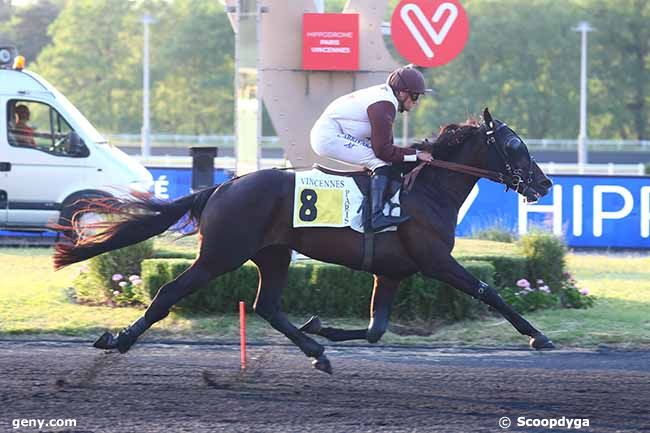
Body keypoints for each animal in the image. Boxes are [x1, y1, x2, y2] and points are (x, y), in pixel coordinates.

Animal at [54, 107, 552, 372]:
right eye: (514, 145)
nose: (544, 184)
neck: (427, 191)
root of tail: (222, 187)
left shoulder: (392, 271)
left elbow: (376, 328)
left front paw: (320, 327)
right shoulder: (435, 262)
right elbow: (490, 291)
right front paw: (538, 337)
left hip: (272, 254)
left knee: (267, 306)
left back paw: (316, 351)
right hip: (221, 255)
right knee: (169, 293)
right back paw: (119, 340)